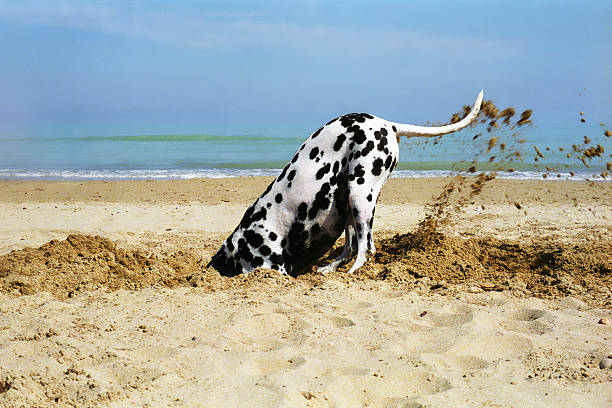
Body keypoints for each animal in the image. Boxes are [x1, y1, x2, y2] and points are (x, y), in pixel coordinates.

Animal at [208, 89, 486, 274]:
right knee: (351, 248)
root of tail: (388, 124)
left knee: (366, 249)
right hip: (348, 207)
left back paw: (351, 273)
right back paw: (329, 269)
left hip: (359, 195)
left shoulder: (272, 267)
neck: (245, 240)